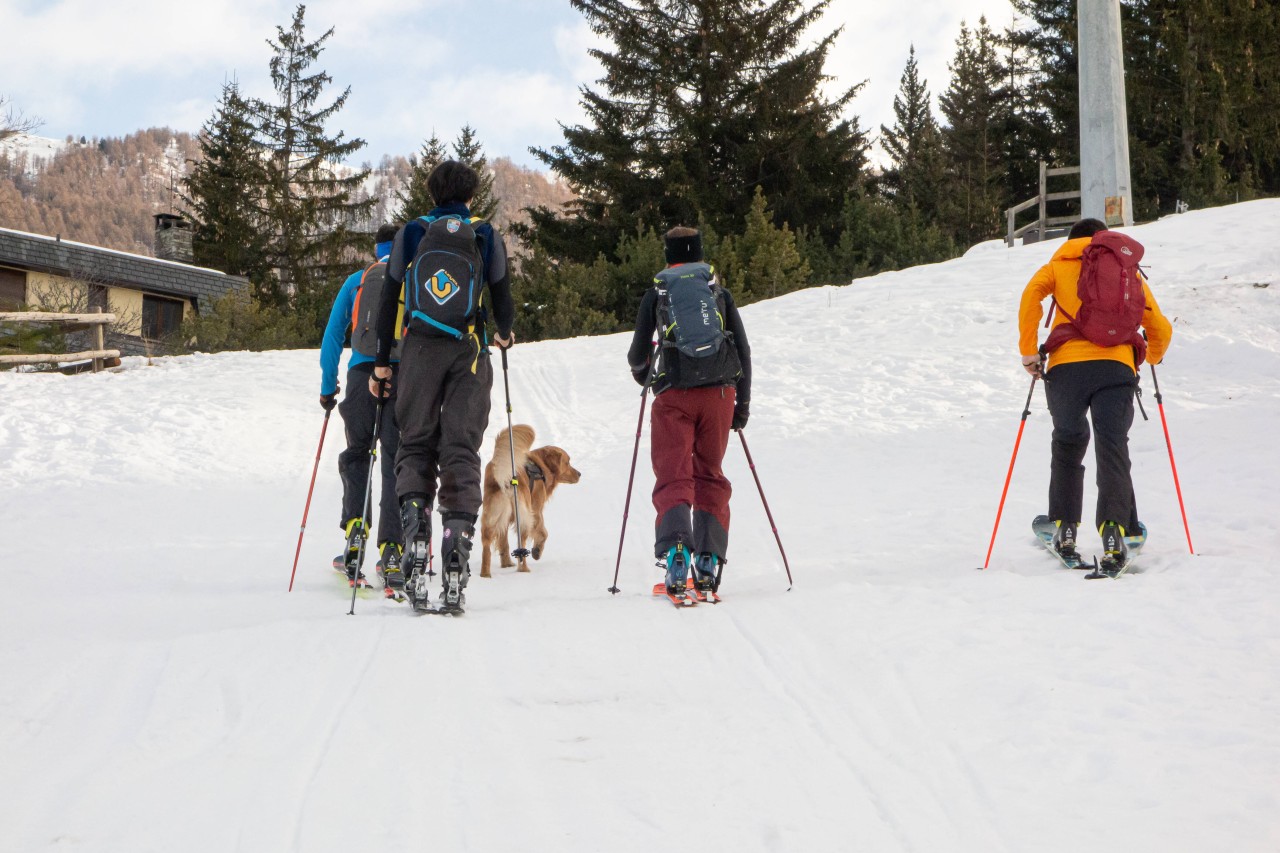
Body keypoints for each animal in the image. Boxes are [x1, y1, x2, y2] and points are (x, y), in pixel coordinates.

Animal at [481, 422, 581, 573]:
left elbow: (503, 543)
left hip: (492, 517)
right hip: (524, 517)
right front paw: (537, 551)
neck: (540, 467)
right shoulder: (536, 511)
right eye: (567, 462)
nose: (580, 474)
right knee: (521, 546)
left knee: (488, 546)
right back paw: (524, 569)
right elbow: (544, 533)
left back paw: (488, 572)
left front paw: (506, 564)